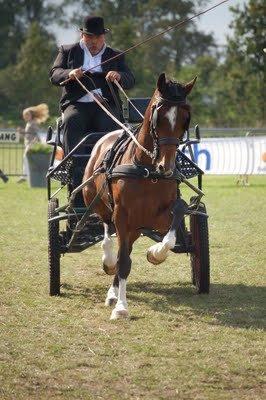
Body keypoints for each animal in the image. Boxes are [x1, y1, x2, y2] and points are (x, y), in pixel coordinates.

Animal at [82, 73, 196, 320]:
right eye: (158, 116)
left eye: (185, 118)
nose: (166, 167)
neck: (147, 171)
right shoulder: (123, 215)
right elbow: (123, 261)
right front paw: (121, 308)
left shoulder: (158, 216)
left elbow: (177, 218)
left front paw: (156, 253)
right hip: (100, 205)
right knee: (108, 232)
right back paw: (108, 263)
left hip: (135, 227)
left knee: (126, 248)